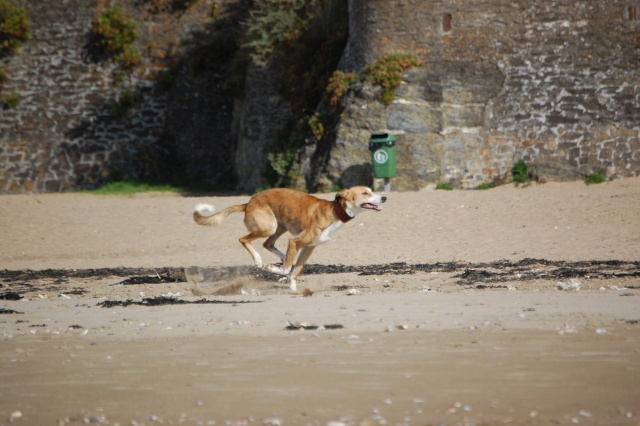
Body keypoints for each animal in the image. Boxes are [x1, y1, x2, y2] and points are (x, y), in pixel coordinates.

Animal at [194, 187, 384, 292]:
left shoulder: (308, 248)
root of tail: (248, 202)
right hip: (268, 227)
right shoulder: (295, 242)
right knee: (244, 239)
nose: (384, 197)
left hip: (280, 227)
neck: (334, 212)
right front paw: (272, 269)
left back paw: (282, 259)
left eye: (371, 190)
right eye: (365, 193)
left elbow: (296, 271)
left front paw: (292, 288)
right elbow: (286, 270)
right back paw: (259, 261)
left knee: (269, 244)